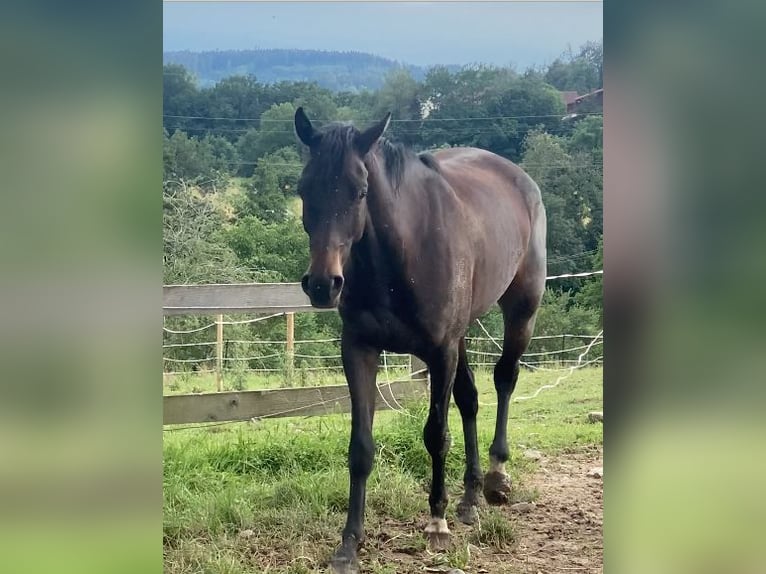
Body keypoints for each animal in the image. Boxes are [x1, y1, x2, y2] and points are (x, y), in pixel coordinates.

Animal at [292, 109, 544, 574]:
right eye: (304, 189)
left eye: (359, 192)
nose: (322, 284)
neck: (400, 256)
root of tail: (519, 177)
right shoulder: (359, 350)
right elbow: (361, 446)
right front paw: (349, 543)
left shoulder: (439, 352)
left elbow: (435, 434)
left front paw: (436, 524)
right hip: (463, 337)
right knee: (470, 399)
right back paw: (470, 498)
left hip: (522, 308)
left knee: (505, 379)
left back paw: (496, 478)